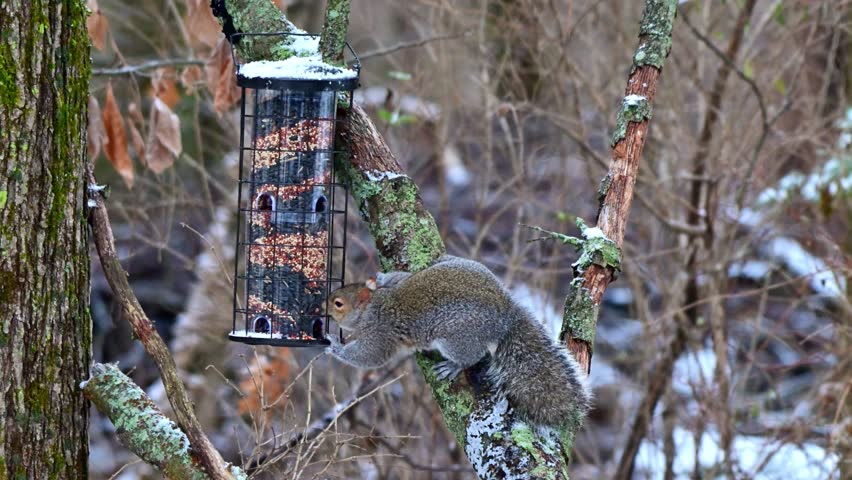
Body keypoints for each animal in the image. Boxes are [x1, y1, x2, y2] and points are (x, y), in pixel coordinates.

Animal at [325, 255, 592, 427]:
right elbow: (400, 276)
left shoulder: (382, 333)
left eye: (338, 303)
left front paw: (334, 346)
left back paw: (451, 366)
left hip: (457, 338)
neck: (375, 305)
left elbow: (369, 356)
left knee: (471, 356)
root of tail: (507, 314)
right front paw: (381, 277)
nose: (321, 306)